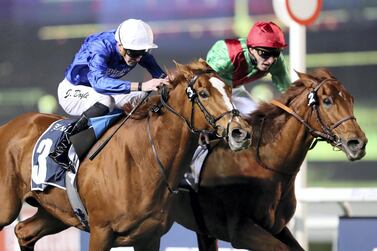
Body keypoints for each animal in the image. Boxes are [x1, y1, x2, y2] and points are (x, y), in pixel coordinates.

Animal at [0, 59, 253, 250]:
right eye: (203, 93)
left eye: (229, 90)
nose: (241, 131)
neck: (143, 161)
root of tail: (8, 125)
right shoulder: (100, 233)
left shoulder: (149, 237)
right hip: (8, 208)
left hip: (55, 212)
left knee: (23, 231)